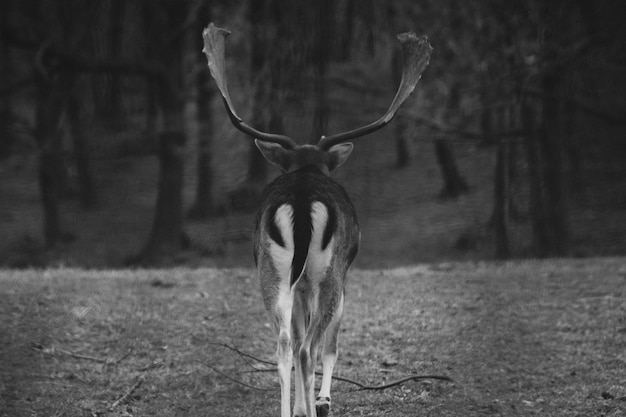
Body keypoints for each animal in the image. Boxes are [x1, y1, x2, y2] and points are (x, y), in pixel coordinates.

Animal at [202, 23, 432, 416]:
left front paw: (299, 406)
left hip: (272, 269)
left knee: (284, 343)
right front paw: (322, 400)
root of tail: (301, 198)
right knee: (310, 347)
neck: (308, 167)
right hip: (330, 272)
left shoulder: (301, 285)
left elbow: (295, 336)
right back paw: (315, 407)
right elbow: (332, 343)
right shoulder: (339, 277)